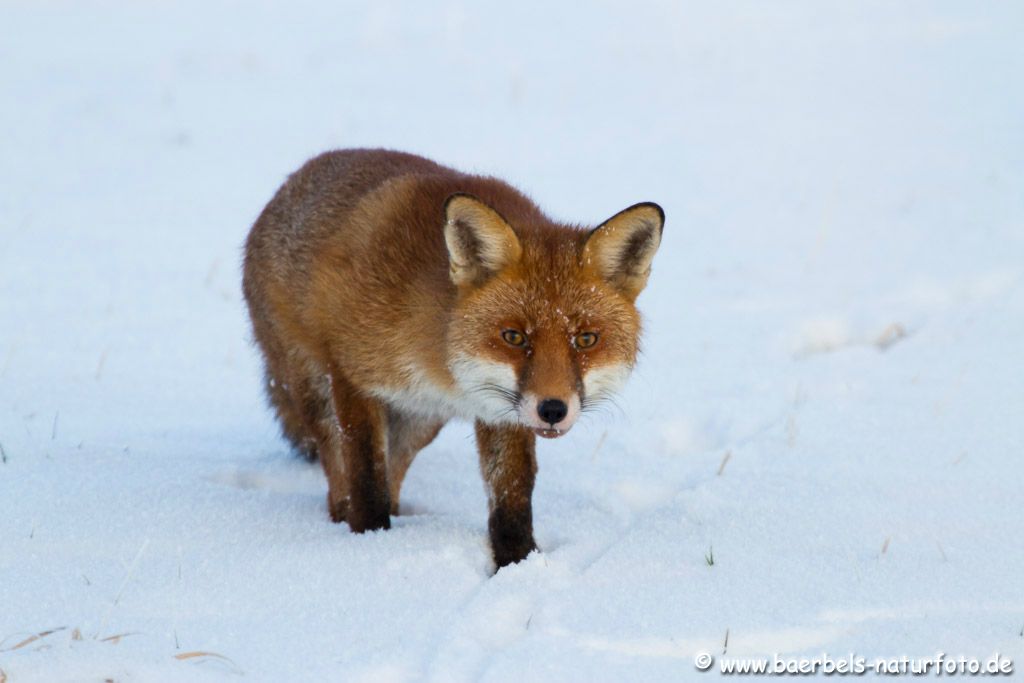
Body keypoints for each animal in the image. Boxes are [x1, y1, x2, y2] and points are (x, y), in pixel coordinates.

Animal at [245, 150, 663, 573]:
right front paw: (369, 543)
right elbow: (365, 480)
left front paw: (517, 566)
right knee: (339, 479)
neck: (440, 361)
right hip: (317, 392)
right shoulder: (352, 377)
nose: (552, 410)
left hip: (421, 422)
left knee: (395, 474)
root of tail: (292, 181)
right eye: (514, 337)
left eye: (586, 340)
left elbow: (512, 498)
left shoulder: (501, 411)